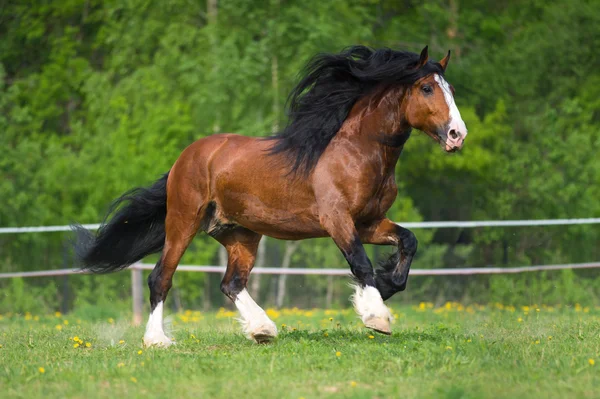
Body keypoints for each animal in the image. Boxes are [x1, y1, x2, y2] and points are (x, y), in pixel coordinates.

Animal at [72, 44, 468, 346]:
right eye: (427, 88)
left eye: (450, 88)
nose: (457, 135)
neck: (357, 151)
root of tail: (185, 157)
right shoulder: (337, 220)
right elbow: (360, 263)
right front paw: (376, 316)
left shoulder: (368, 222)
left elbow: (408, 242)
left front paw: (384, 288)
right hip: (183, 222)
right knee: (161, 278)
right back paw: (158, 340)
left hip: (240, 233)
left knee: (232, 283)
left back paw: (262, 329)